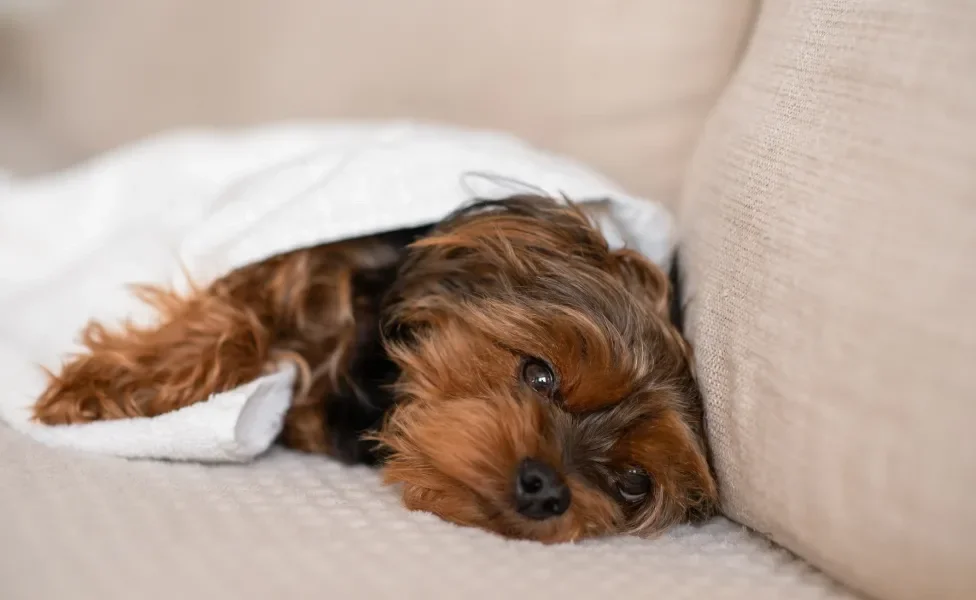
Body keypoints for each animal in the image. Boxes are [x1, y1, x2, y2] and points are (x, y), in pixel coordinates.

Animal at [32, 196, 716, 544]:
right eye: (540, 374)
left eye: (632, 482)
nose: (547, 488)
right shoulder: (313, 264)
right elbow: (241, 312)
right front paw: (100, 387)